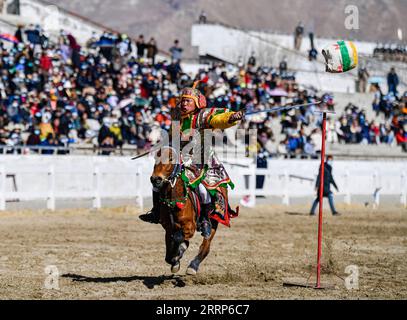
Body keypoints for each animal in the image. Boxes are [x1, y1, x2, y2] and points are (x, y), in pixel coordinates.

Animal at [151, 148, 220, 276]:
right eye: (155, 157)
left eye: (171, 158)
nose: (155, 179)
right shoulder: (168, 228)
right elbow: (169, 250)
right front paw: (175, 260)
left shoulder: (190, 227)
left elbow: (177, 239)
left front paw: (179, 253)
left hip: (214, 222)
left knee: (206, 245)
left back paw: (193, 266)